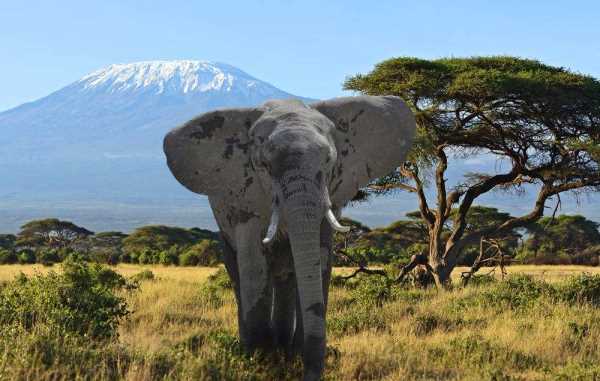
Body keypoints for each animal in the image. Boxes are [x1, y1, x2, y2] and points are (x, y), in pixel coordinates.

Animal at [164, 94, 418, 378]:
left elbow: (320, 259)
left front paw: (291, 357)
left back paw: (283, 348)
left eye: (329, 162)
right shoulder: (245, 195)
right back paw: (251, 347)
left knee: (285, 275)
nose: (308, 372)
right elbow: (254, 263)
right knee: (238, 272)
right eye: (264, 166)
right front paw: (259, 361)